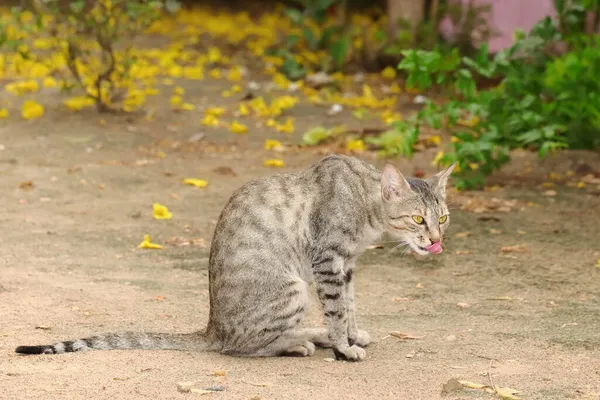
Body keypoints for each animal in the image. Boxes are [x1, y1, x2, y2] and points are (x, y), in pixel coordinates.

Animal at [15, 154, 454, 362]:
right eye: (418, 218)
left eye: (444, 217)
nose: (436, 239)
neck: (366, 209)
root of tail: (212, 329)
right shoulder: (328, 260)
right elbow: (337, 309)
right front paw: (344, 348)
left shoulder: (346, 265)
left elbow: (349, 306)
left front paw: (349, 335)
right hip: (292, 288)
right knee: (243, 347)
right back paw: (300, 343)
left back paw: (310, 335)